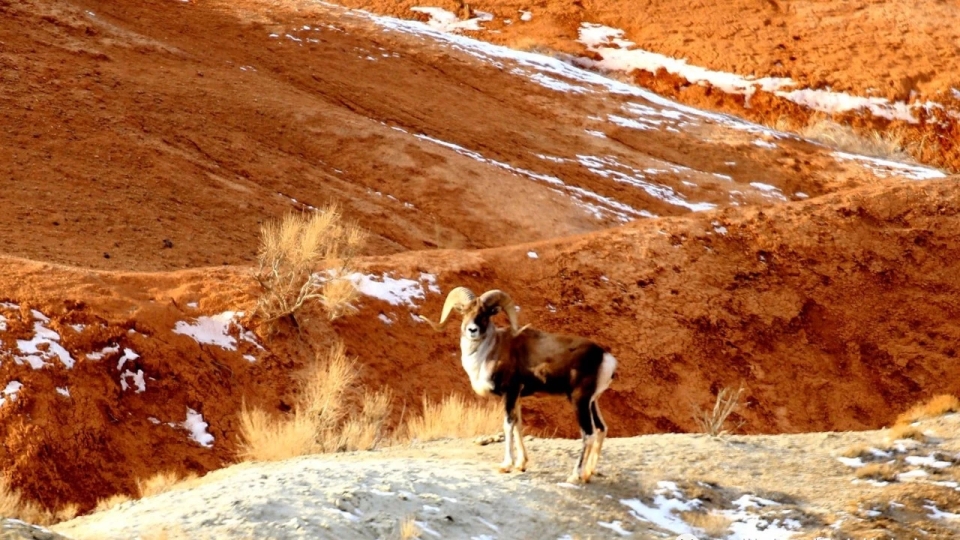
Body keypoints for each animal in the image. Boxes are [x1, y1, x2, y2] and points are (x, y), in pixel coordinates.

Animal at [424, 286, 620, 486]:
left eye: (485, 313)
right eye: (465, 311)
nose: (472, 330)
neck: (487, 353)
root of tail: (606, 358)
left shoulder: (509, 393)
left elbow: (508, 425)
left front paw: (506, 466)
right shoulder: (516, 397)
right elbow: (518, 425)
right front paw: (520, 465)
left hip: (579, 401)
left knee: (588, 434)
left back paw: (575, 476)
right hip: (592, 402)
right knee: (601, 429)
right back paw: (588, 474)